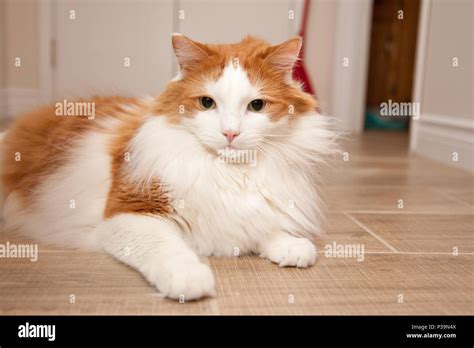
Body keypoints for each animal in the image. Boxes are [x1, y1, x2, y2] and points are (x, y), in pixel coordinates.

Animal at [1, 36, 338, 302]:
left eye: (257, 106)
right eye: (207, 103)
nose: (230, 133)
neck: (227, 171)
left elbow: (265, 225)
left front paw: (290, 245)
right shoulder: (130, 212)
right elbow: (165, 248)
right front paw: (189, 278)